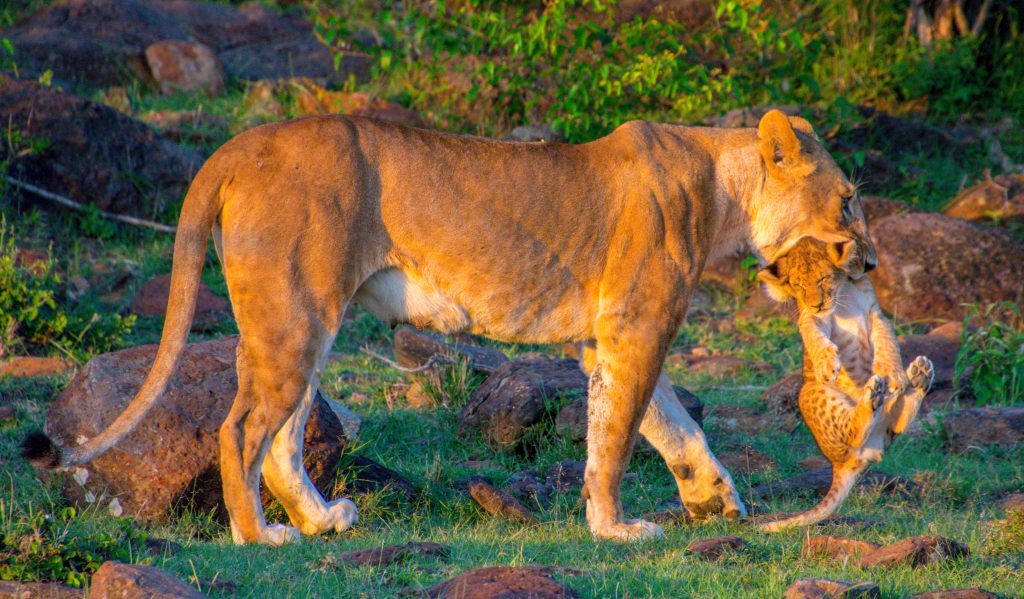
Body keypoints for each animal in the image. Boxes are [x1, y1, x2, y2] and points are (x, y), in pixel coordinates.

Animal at [24, 109, 874, 545]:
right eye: (849, 200)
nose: (870, 261)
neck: (724, 191)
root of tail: (242, 142)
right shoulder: (637, 323)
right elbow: (619, 438)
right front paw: (616, 527)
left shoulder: (606, 336)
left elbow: (663, 421)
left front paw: (712, 502)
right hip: (294, 313)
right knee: (240, 429)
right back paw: (260, 537)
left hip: (306, 321)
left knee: (283, 436)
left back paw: (321, 519)